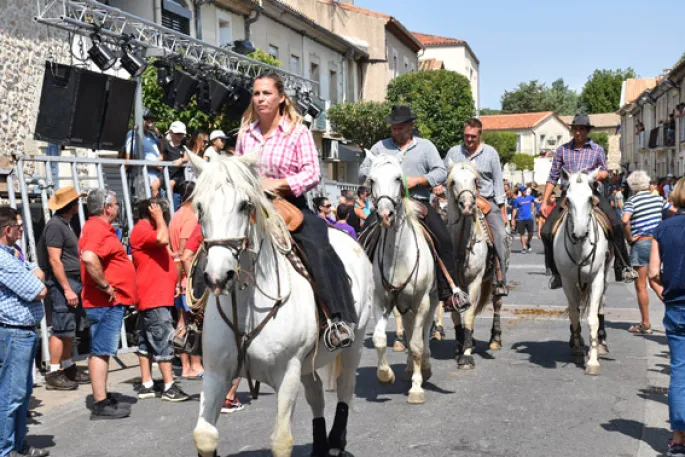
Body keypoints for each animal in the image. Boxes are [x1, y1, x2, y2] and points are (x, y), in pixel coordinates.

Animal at [187, 153, 372, 456]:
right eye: (200, 207)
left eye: (244, 205)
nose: (218, 276)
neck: (248, 306)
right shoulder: (216, 372)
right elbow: (204, 435)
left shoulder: (287, 373)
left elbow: (282, 441)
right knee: (316, 393)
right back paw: (320, 445)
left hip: (353, 344)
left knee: (345, 387)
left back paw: (336, 442)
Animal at [368, 154, 438, 402]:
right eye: (371, 179)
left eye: (398, 178)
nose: (385, 215)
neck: (399, 255)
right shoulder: (381, 300)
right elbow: (379, 338)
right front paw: (385, 375)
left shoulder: (421, 301)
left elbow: (417, 344)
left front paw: (416, 388)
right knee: (408, 328)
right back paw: (408, 368)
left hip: (431, 301)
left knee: (423, 333)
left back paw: (424, 367)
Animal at [444, 162, 502, 368]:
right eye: (453, 181)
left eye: (475, 180)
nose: (468, 205)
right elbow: (456, 314)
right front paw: (460, 344)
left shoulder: (475, 282)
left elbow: (468, 315)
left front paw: (466, 354)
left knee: (496, 302)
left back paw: (495, 339)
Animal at [552, 168, 612, 374]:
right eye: (568, 200)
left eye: (589, 198)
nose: (579, 234)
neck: (580, 248)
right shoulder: (568, 281)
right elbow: (574, 313)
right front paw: (578, 347)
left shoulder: (596, 278)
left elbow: (592, 318)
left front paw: (592, 361)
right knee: (576, 307)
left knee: (600, 305)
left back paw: (601, 342)